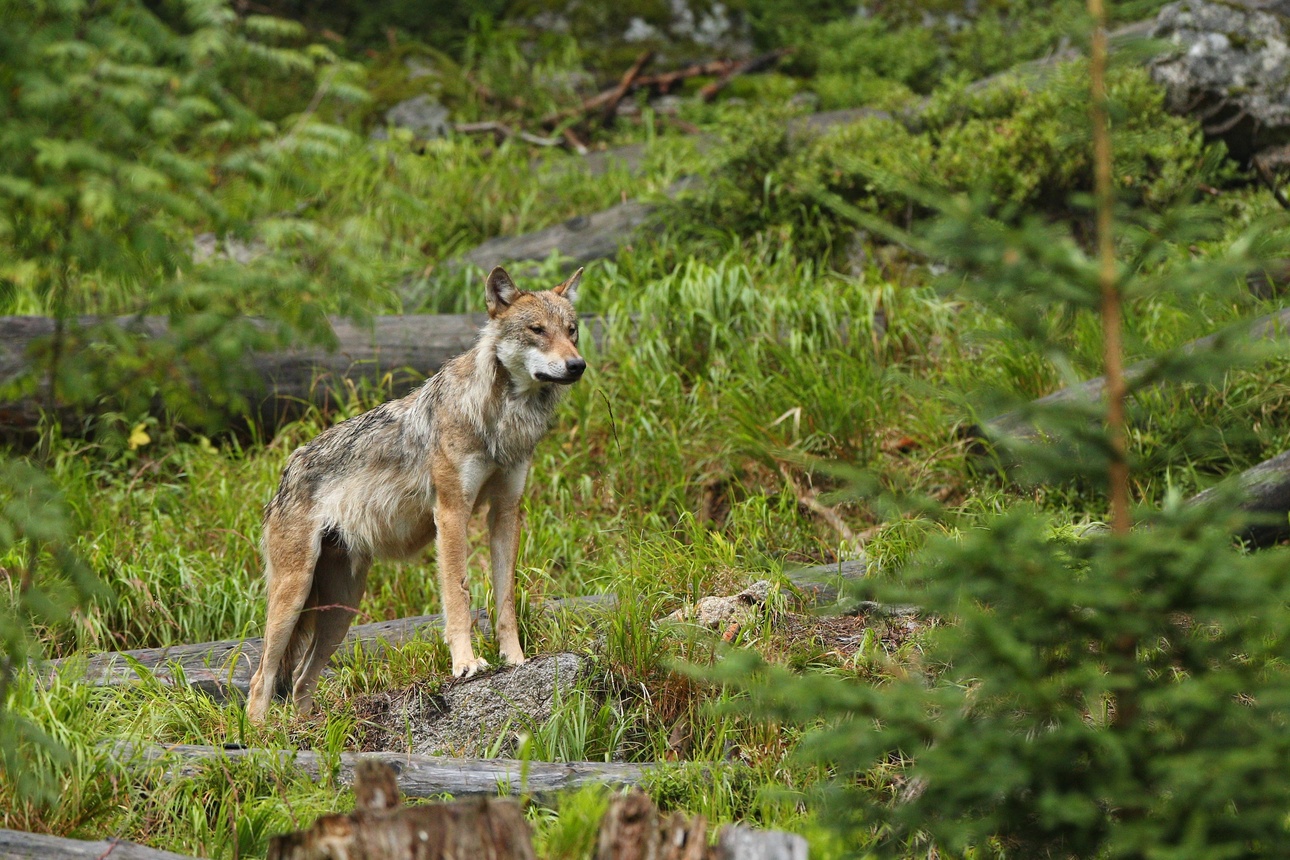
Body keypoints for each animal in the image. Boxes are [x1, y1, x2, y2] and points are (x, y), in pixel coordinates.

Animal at [245, 265, 585, 722]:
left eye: (572, 330)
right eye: (537, 330)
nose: (577, 365)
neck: (501, 417)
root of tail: (286, 471)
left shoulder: (505, 512)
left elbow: (506, 600)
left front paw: (515, 660)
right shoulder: (452, 512)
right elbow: (458, 593)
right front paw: (466, 664)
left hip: (342, 609)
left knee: (299, 678)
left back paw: (306, 729)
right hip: (294, 596)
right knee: (260, 678)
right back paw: (261, 734)